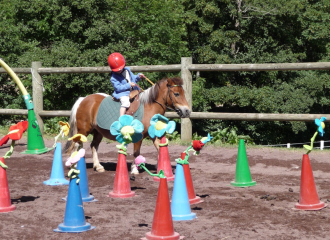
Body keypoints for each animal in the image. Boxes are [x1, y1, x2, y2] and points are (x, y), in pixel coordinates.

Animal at [63, 77, 191, 172]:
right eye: (176, 94)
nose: (187, 111)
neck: (149, 107)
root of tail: (83, 99)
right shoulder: (138, 136)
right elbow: (136, 152)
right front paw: (135, 169)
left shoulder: (153, 135)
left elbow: (160, 148)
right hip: (83, 130)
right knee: (76, 144)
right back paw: (74, 165)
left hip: (98, 132)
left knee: (93, 145)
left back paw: (98, 166)